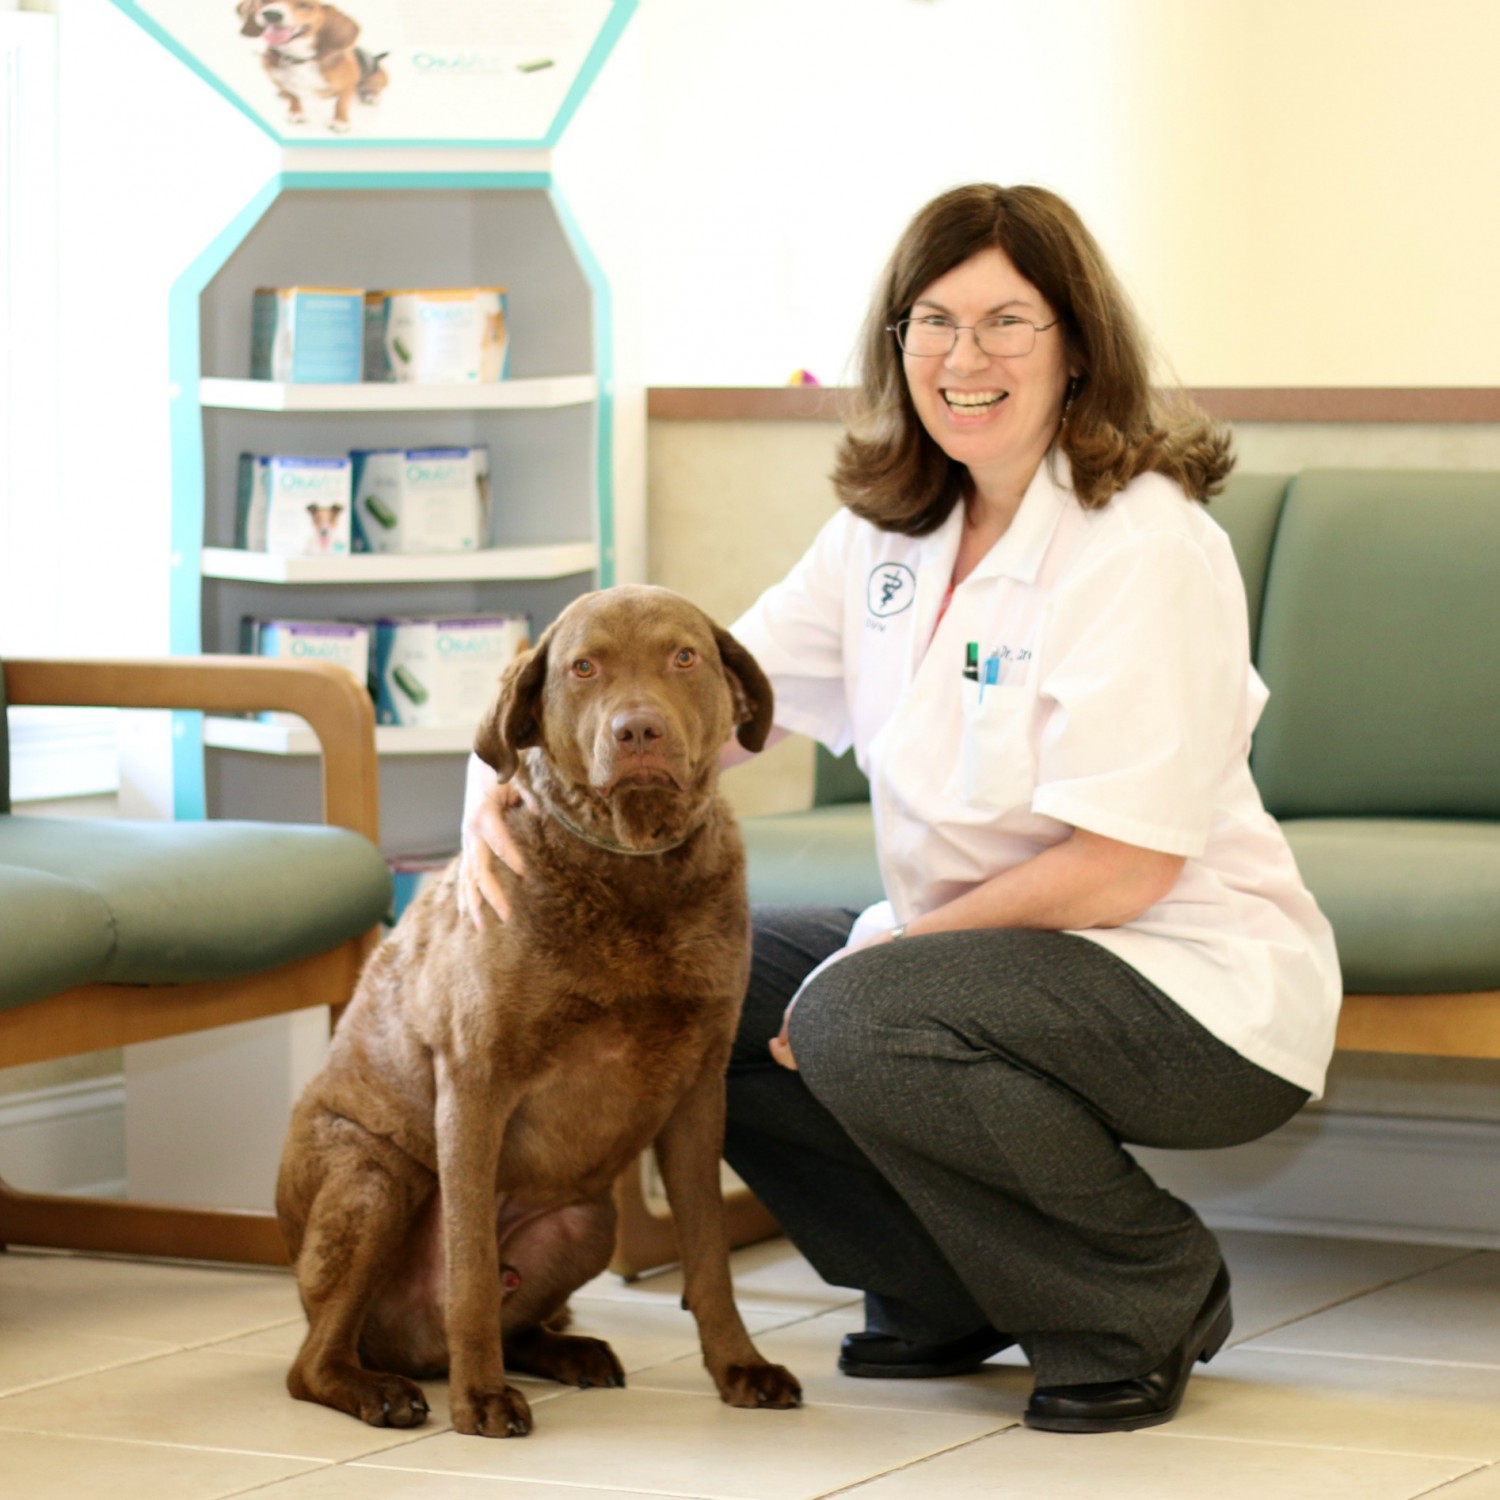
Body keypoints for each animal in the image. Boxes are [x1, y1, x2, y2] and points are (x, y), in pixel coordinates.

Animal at [237, 0, 390, 132]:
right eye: (265, 1)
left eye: (304, 4)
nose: (271, 14)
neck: (299, 58)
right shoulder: (278, 80)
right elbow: (293, 96)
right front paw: (295, 111)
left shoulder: (348, 86)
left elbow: (341, 104)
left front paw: (340, 121)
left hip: (378, 78)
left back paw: (372, 96)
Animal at [276, 579, 804, 1434]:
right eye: (585, 667)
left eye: (683, 657)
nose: (638, 729)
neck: (632, 870)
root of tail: (409, 1349)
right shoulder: (474, 1083)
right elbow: (469, 1272)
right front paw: (481, 1399)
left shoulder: (700, 1090)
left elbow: (710, 1255)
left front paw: (739, 1367)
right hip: (373, 1178)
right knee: (314, 1361)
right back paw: (380, 1389)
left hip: (589, 1221)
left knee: (521, 1316)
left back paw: (570, 1351)